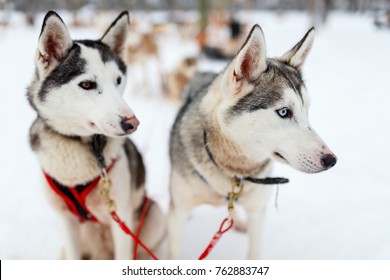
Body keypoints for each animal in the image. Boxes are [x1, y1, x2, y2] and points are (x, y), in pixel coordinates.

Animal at [169, 25, 336, 260]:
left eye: (307, 111)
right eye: (284, 112)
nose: (331, 160)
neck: (234, 170)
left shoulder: (257, 213)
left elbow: (254, 251)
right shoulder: (178, 215)